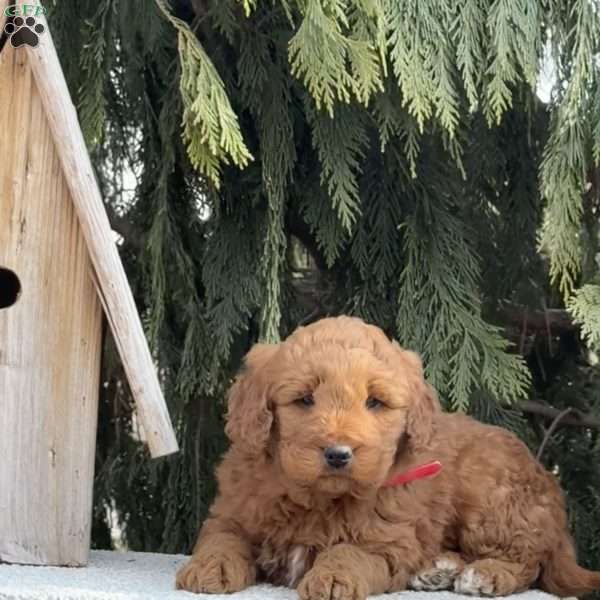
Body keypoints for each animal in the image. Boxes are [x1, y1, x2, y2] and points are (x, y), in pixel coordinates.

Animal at [175, 316, 600, 596]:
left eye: (375, 402)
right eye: (304, 399)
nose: (338, 454)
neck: (319, 500)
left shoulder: (388, 541)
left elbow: (349, 551)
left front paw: (333, 577)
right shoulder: (233, 510)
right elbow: (221, 537)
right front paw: (210, 567)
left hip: (490, 497)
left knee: (529, 560)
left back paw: (486, 574)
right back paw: (437, 569)